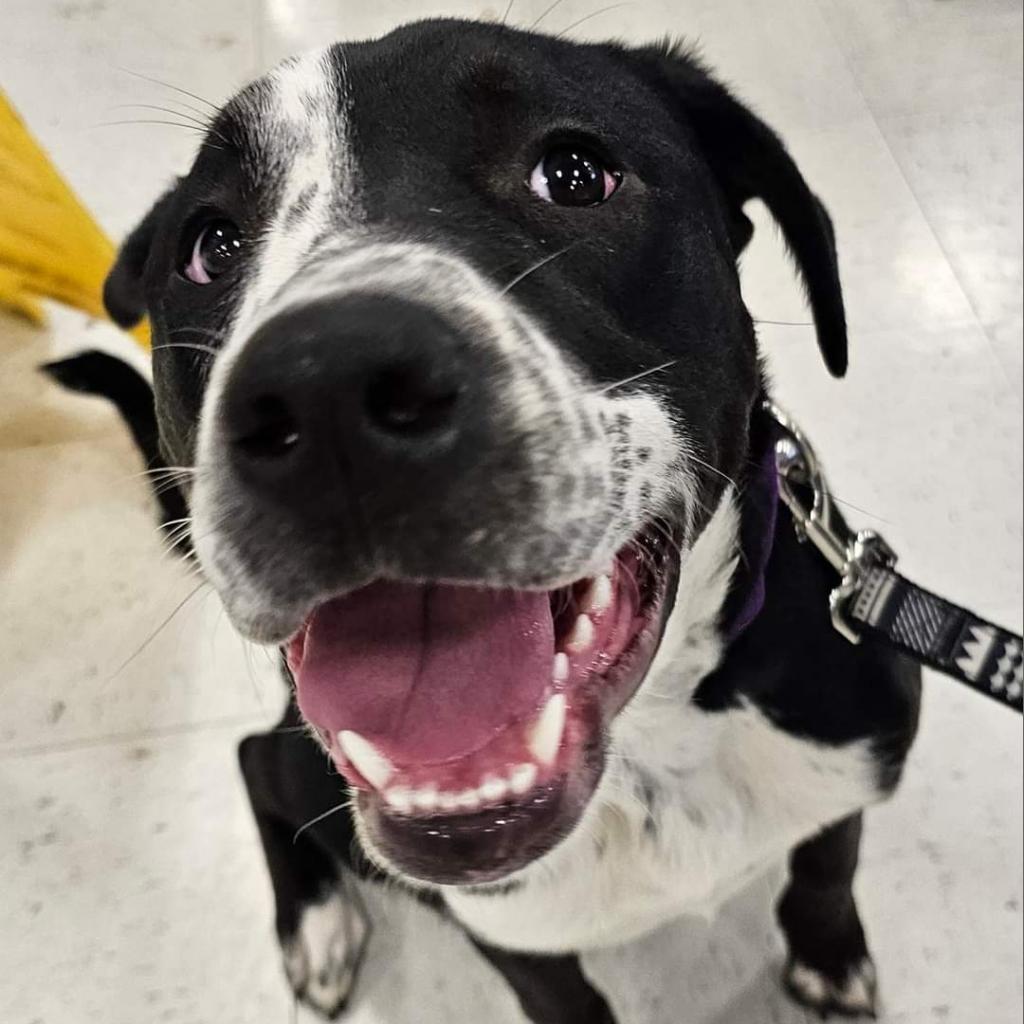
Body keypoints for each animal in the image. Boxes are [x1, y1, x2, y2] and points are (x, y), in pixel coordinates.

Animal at [86, 18, 929, 1024]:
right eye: (209, 246)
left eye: (574, 172)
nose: (327, 390)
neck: (655, 746)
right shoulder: (517, 940)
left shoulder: (852, 756)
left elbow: (829, 866)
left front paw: (830, 955)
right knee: (255, 757)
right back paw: (317, 922)